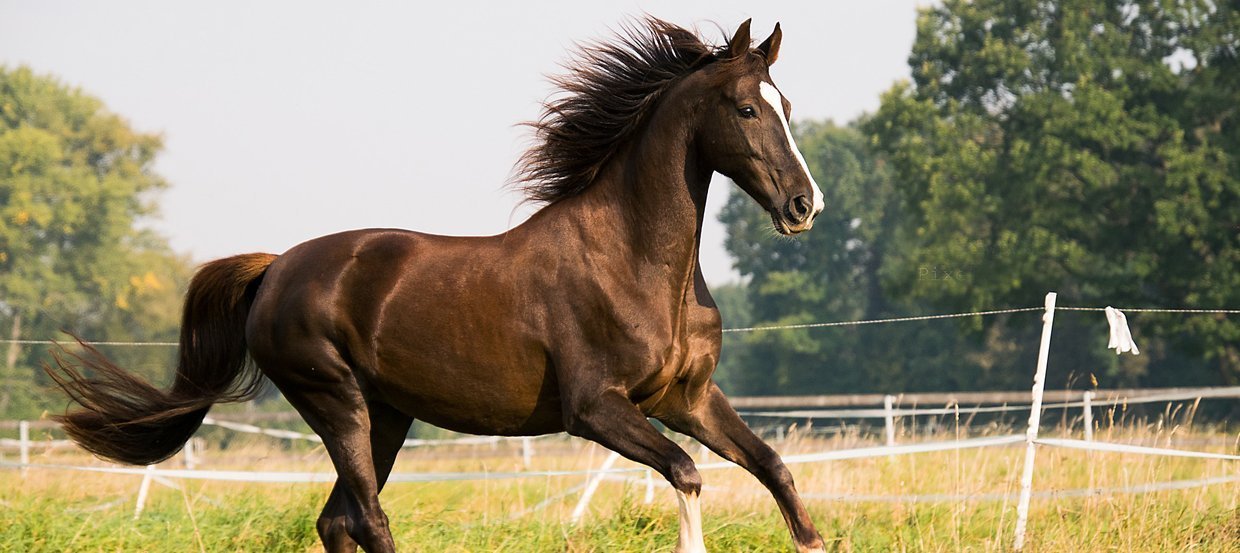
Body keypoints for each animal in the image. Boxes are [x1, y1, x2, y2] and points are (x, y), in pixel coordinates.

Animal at [48, 18, 828, 553]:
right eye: (747, 109)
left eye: (787, 104)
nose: (804, 206)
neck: (633, 263)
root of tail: (274, 268)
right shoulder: (596, 408)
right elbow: (687, 473)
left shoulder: (686, 398)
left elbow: (776, 469)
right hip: (337, 404)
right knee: (367, 518)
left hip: (386, 415)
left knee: (337, 520)